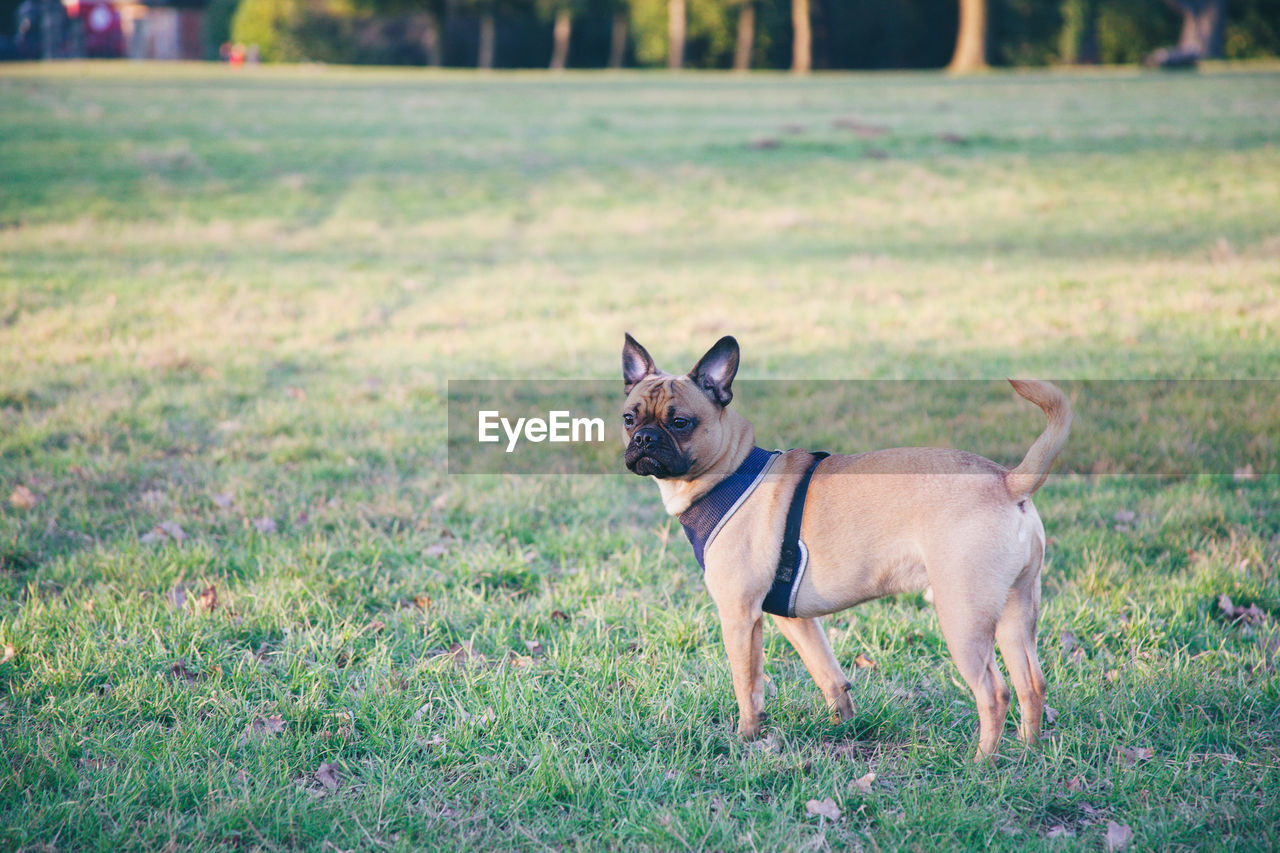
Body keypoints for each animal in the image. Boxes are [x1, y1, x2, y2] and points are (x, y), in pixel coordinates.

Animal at [619, 333, 1070, 758]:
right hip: (1015, 611)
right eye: (628, 418)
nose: (643, 439)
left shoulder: (739, 615)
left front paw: (747, 738)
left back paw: (982, 763)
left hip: (963, 616)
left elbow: (747, 686)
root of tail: (1008, 482)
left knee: (994, 693)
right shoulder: (794, 620)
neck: (727, 472)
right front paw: (843, 726)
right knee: (1031, 684)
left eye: (681, 422)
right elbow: (828, 673)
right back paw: (1027, 753)